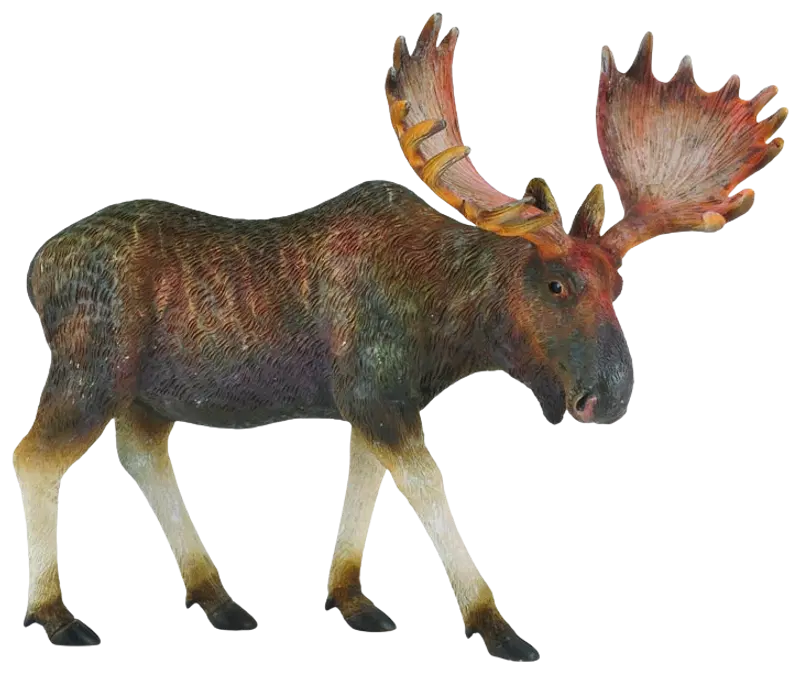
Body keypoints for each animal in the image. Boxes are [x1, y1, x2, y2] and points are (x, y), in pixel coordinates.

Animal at [15, 12, 787, 661]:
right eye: (556, 285)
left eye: (617, 287)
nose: (611, 395)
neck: (449, 319)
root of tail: (38, 265)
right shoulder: (377, 396)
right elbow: (433, 496)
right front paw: (497, 627)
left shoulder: (374, 403)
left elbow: (365, 490)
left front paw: (352, 598)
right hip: (92, 372)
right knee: (34, 455)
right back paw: (55, 612)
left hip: (145, 394)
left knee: (141, 455)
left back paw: (219, 597)